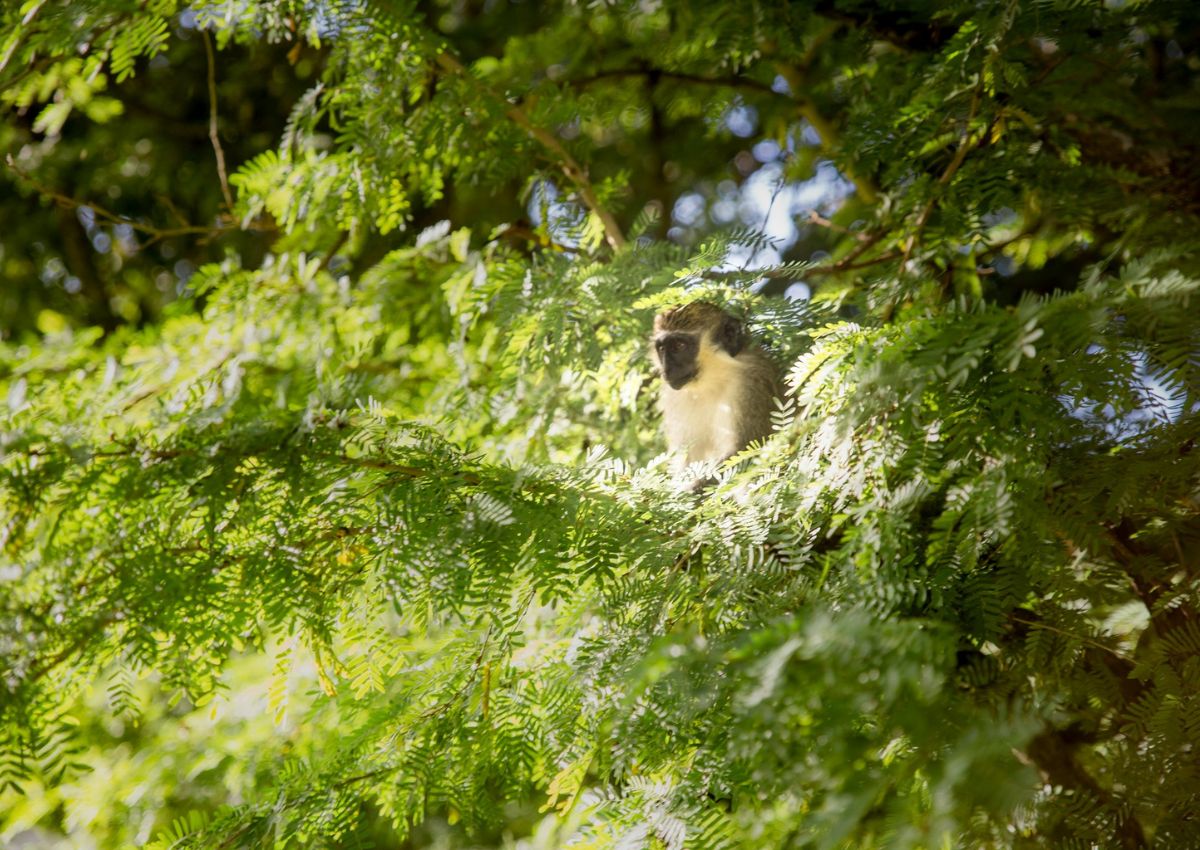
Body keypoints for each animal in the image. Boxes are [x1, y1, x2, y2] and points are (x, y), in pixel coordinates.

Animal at [652, 303, 782, 477]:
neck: (711, 382)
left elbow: (748, 448)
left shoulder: (750, 383)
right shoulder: (675, 397)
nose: (667, 369)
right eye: (662, 349)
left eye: (679, 346)